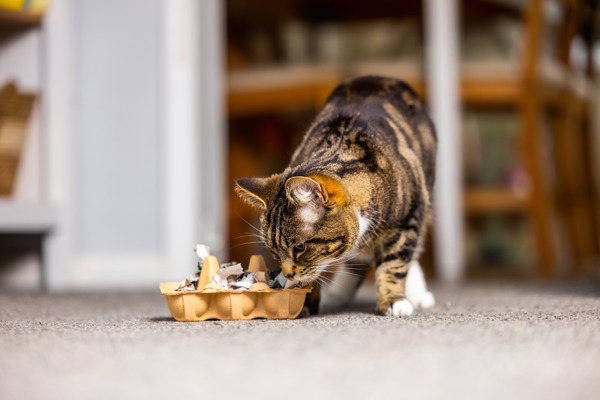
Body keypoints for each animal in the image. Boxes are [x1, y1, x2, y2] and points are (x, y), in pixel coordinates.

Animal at [237, 76, 438, 318]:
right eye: (273, 252)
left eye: (300, 247)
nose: (288, 274)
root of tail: (378, 77)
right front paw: (303, 301)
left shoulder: (408, 217)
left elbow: (395, 262)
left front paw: (393, 301)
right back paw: (337, 296)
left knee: (410, 252)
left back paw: (417, 294)